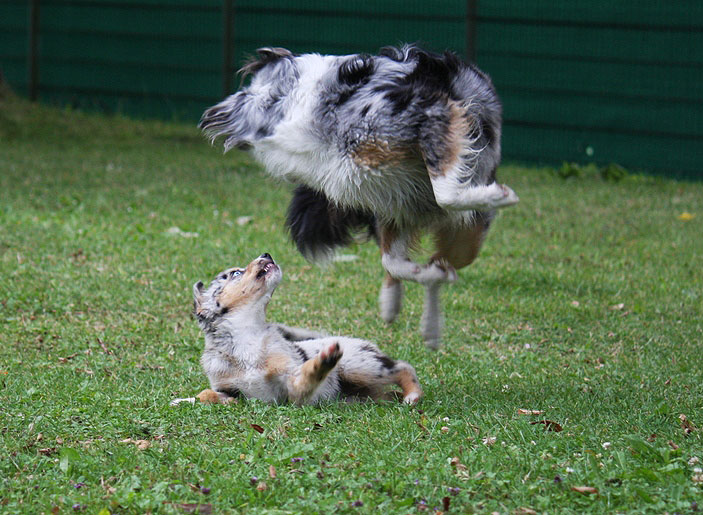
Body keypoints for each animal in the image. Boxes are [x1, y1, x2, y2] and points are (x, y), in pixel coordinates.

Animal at [170, 254, 424, 408]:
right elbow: (207, 394)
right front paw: (184, 400)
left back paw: (413, 395)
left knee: (403, 367)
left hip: (358, 365)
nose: (266, 255)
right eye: (235, 273)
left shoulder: (290, 384)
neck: (247, 335)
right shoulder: (232, 393)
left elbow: (308, 377)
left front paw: (323, 361)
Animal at [201, 45, 520, 350]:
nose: (214, 113)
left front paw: (499, 196)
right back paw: (407, 308)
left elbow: (446, 193)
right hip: (398, 211)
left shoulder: (432, 114)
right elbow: (396, 261)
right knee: (407, 265)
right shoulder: (389, 201)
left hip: (462, 238)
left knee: (439, 255)